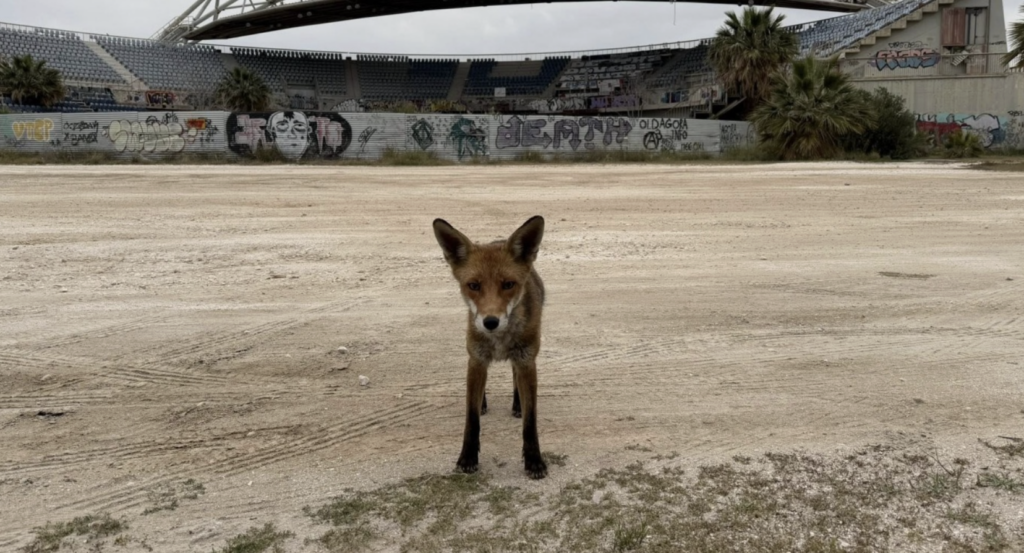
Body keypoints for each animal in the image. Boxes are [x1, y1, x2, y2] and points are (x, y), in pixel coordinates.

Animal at [432, 215, 548, 479]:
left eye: (508, 284)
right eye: (473, 285)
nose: (490, 322)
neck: (499, 340)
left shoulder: (527, 360)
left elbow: (531, 420)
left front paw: (534, 461)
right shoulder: (476, 359)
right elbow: (471, 418)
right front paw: (467, 457)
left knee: (515, 378)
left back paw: (517, 404)